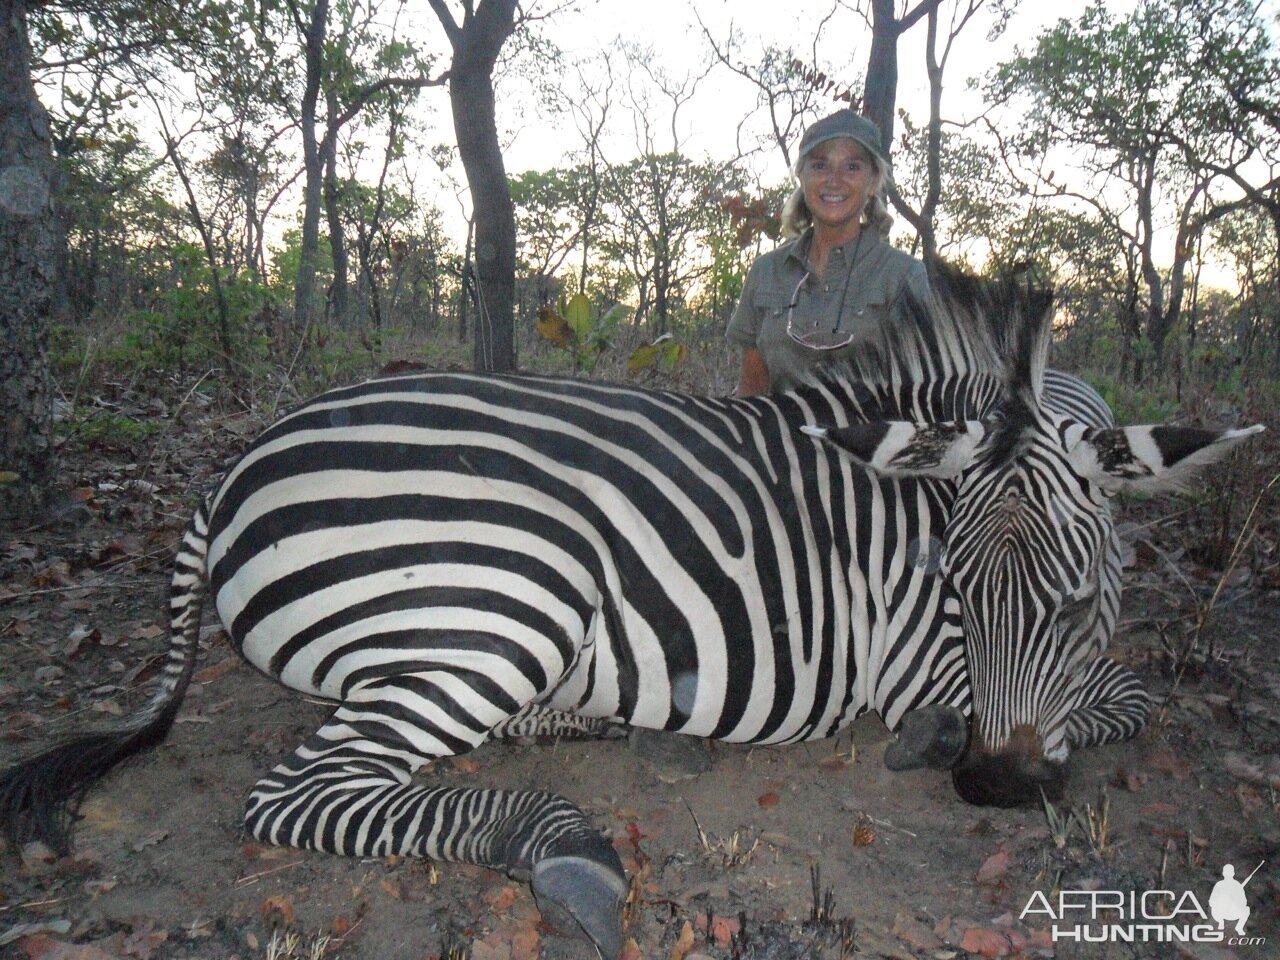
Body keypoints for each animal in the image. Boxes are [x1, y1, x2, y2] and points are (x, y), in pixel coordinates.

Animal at [0, 264, 1259, 960]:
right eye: (954, 583)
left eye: (1077, 593)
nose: (990, 789)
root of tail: (231, 469)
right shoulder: (923, 660)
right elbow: (1126, 698)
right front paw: (941, 739)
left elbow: (1113, 692)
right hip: (512, 594)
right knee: (305, 794)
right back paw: (562, 846)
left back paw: (585, 722)